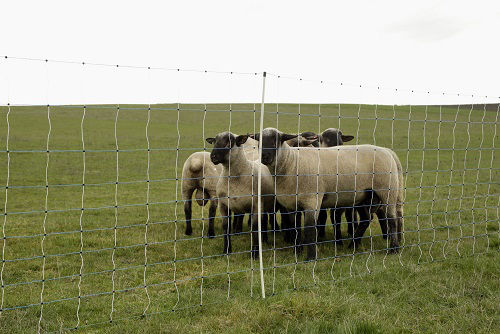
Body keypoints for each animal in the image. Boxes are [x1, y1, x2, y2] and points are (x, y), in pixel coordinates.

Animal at [252, 128, 400, 260]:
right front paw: (297, 251)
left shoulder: (312, 199)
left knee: (392, 220)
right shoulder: (290, 205)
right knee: (365, 219)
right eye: (259, 142)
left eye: (275, 141)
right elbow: (295, 228)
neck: (292, 163)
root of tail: (387, 151)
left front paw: (310, 258)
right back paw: (352, 245)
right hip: (364, 195)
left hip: (388, 190)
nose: (264, 157)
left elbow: (310, 228)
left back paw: (393, 249)